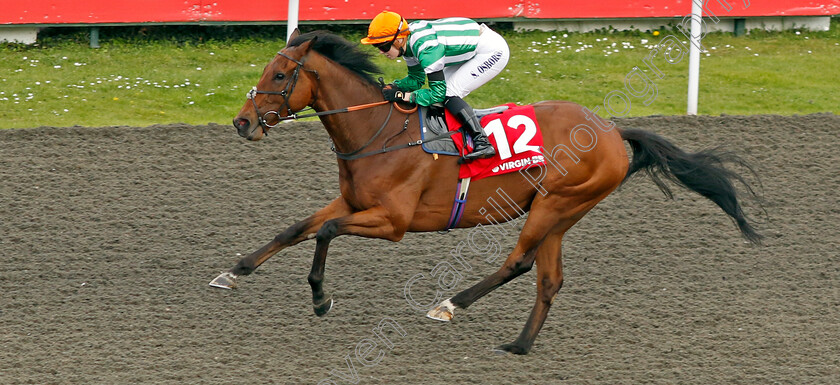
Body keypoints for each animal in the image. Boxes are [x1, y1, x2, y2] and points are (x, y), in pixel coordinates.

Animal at [212, 30, 760, 354]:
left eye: (280, 74)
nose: (241, 123)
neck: (379, 131)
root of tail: (610, 130)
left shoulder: (392, 222)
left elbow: (324, 231)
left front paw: (321, 298)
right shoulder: (353, 201)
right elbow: (294, 229)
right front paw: (231, 274)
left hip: (558, 204)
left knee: (518, 262)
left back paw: (449, 304)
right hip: (560, 213)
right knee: (549, 279)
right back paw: (519, 345)